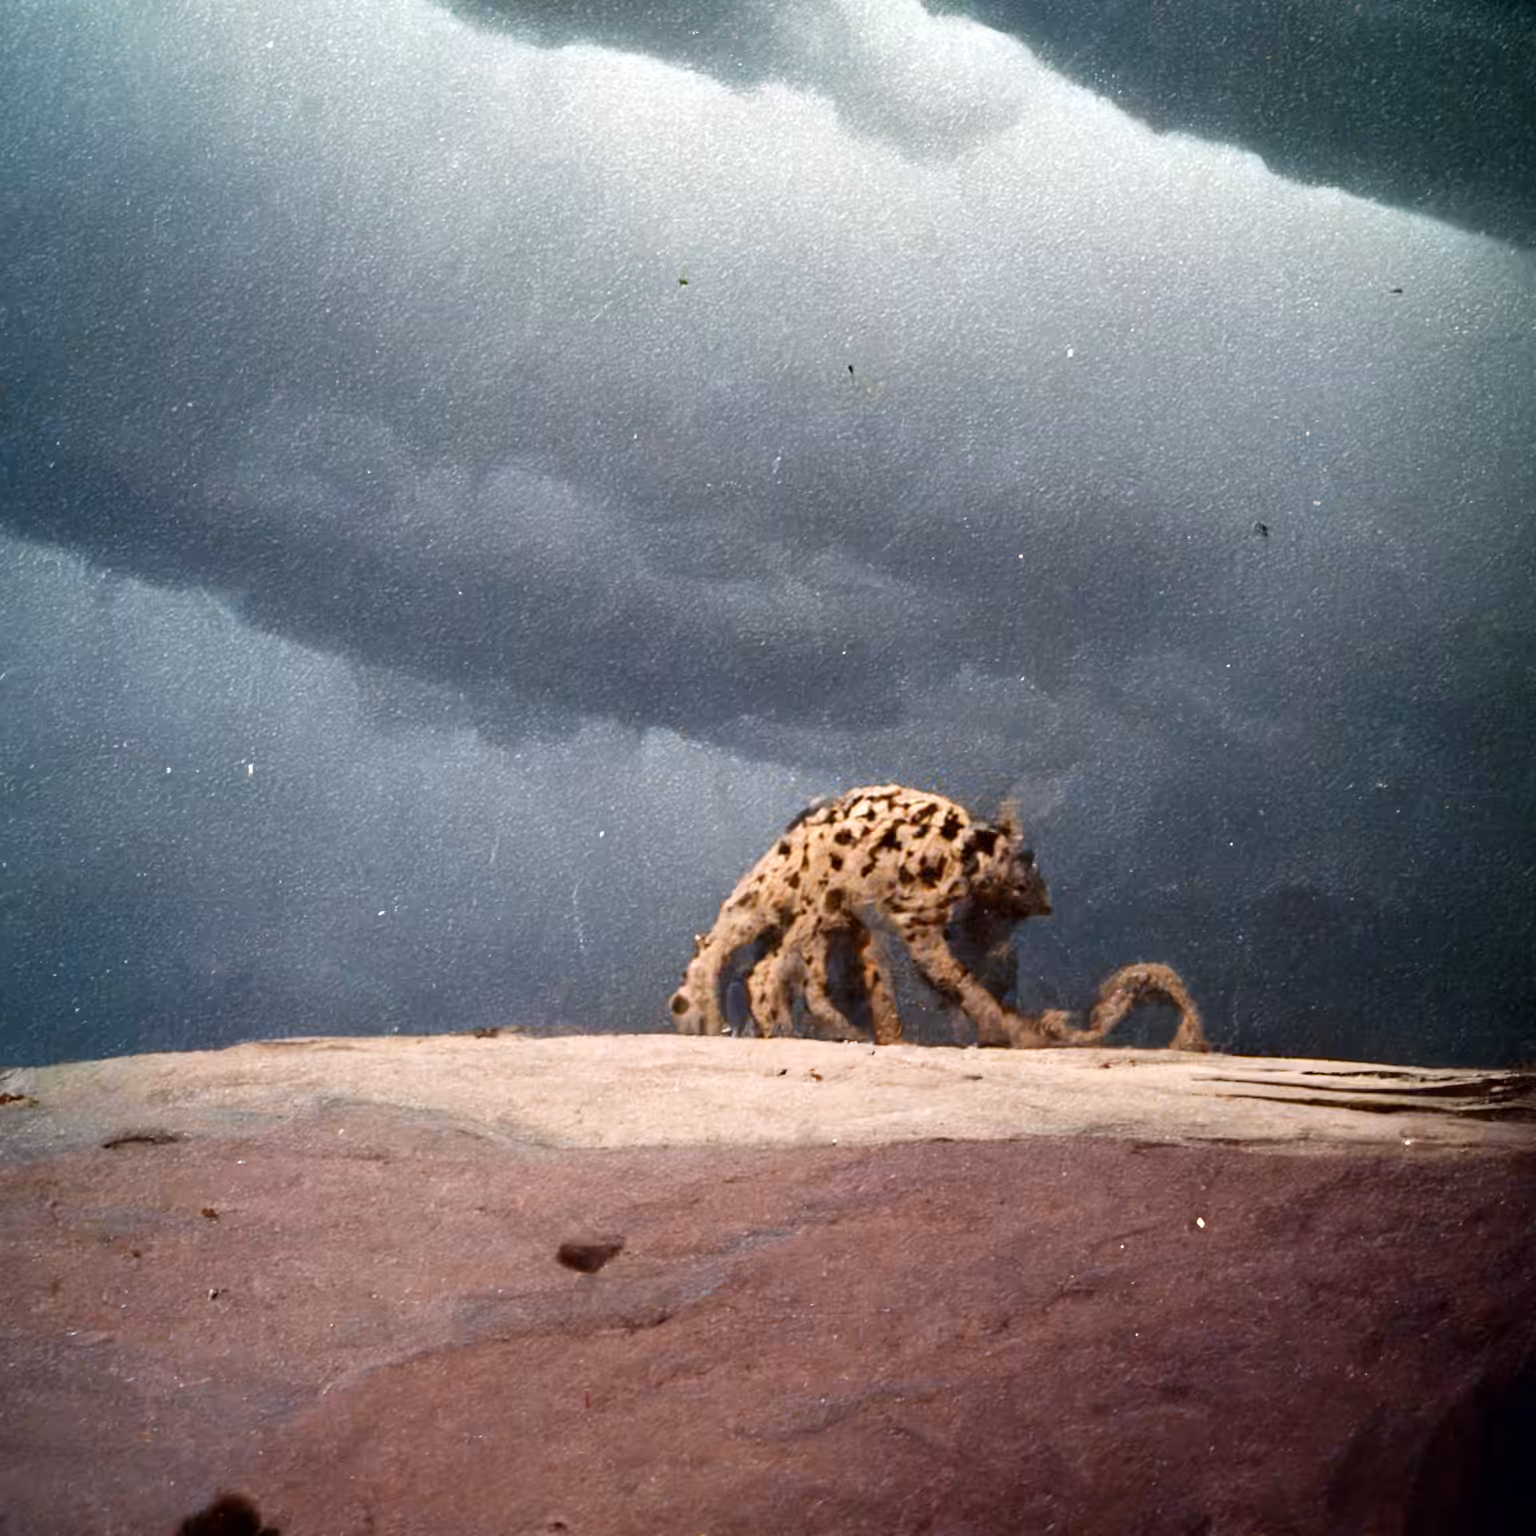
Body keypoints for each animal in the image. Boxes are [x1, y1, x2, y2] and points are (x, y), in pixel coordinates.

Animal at [670, 784, 1208, 1051]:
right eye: (1029, 869)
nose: (1047, 901)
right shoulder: (915, 923)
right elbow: (957, 980)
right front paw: (1000, 1028)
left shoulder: (872, 925)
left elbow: (881, 989)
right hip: (811, 913)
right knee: (762, 971)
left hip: (811, 916)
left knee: (769, 969)